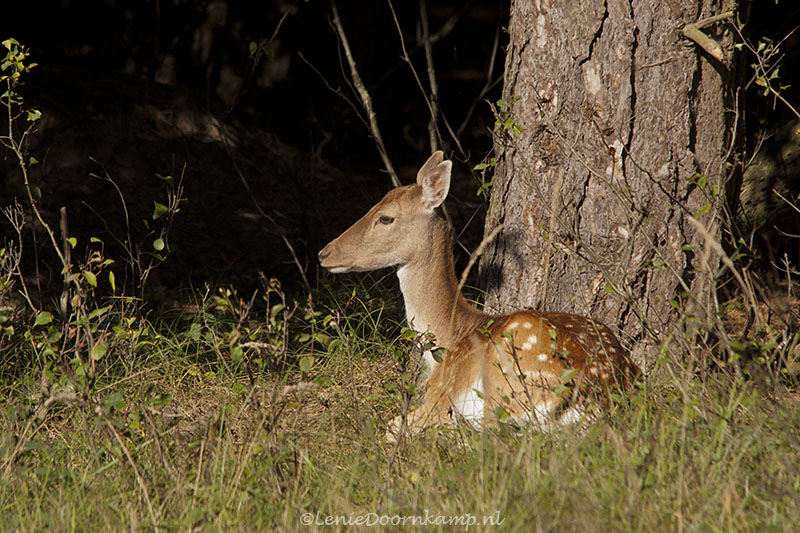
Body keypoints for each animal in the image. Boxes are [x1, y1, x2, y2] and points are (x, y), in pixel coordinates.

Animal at [318, 151, 636, 440]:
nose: (324, 253)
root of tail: (595, 400)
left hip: (505, 377)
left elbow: (394, 425)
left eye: (386, 218)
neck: (448, 335)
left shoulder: (438, 393)